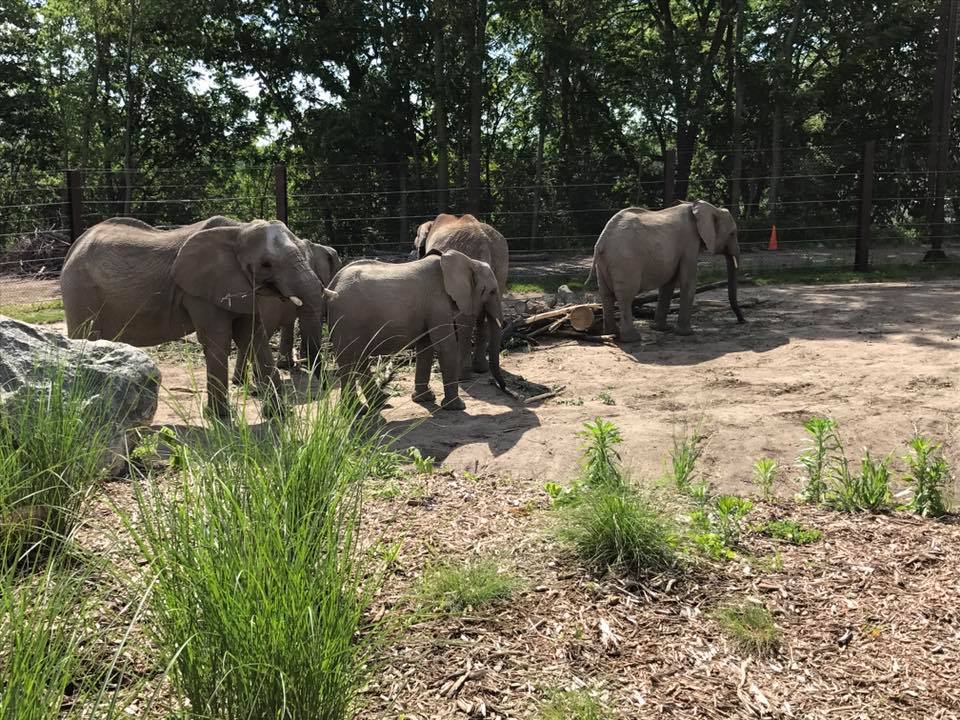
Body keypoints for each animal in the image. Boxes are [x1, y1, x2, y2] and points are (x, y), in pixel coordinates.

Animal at [61, 216, 335, 420]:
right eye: (266, 264)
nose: (323, 385)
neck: (237, 230)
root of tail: (75, 245)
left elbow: (253, 336)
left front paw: (279, 414)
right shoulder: (199, 292)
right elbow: (218, 339)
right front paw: (219, 416)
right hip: (80, 291)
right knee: (83, 339)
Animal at [326, 249, 507, 411]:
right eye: (491, 291)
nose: (502, 387)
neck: (467, 261)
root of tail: (332, 283)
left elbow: (426, 347)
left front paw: (424, 399)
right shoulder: (437, 302)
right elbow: (445, 346)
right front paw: (457, 407)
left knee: (359, 359)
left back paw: (379, 403)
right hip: (348, 320)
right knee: (349, 361)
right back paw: (358, 411)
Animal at [413, 214, 508, 377]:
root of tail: (484, 241)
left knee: (466, 321)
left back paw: (462, 373)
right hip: (501, 266)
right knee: (486, 315)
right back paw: (480, 369)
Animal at [591, 200, 745, 342]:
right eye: (732, 234)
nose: (741, 321)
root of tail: (601, 242)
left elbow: (668, 284)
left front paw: (661, 329)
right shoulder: (689, 243)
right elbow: (688, 281)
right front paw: (687, 333)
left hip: (604, 264)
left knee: (606, 295)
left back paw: (612, 333)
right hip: (626, 262)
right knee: (625, 297)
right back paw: (632, 338)